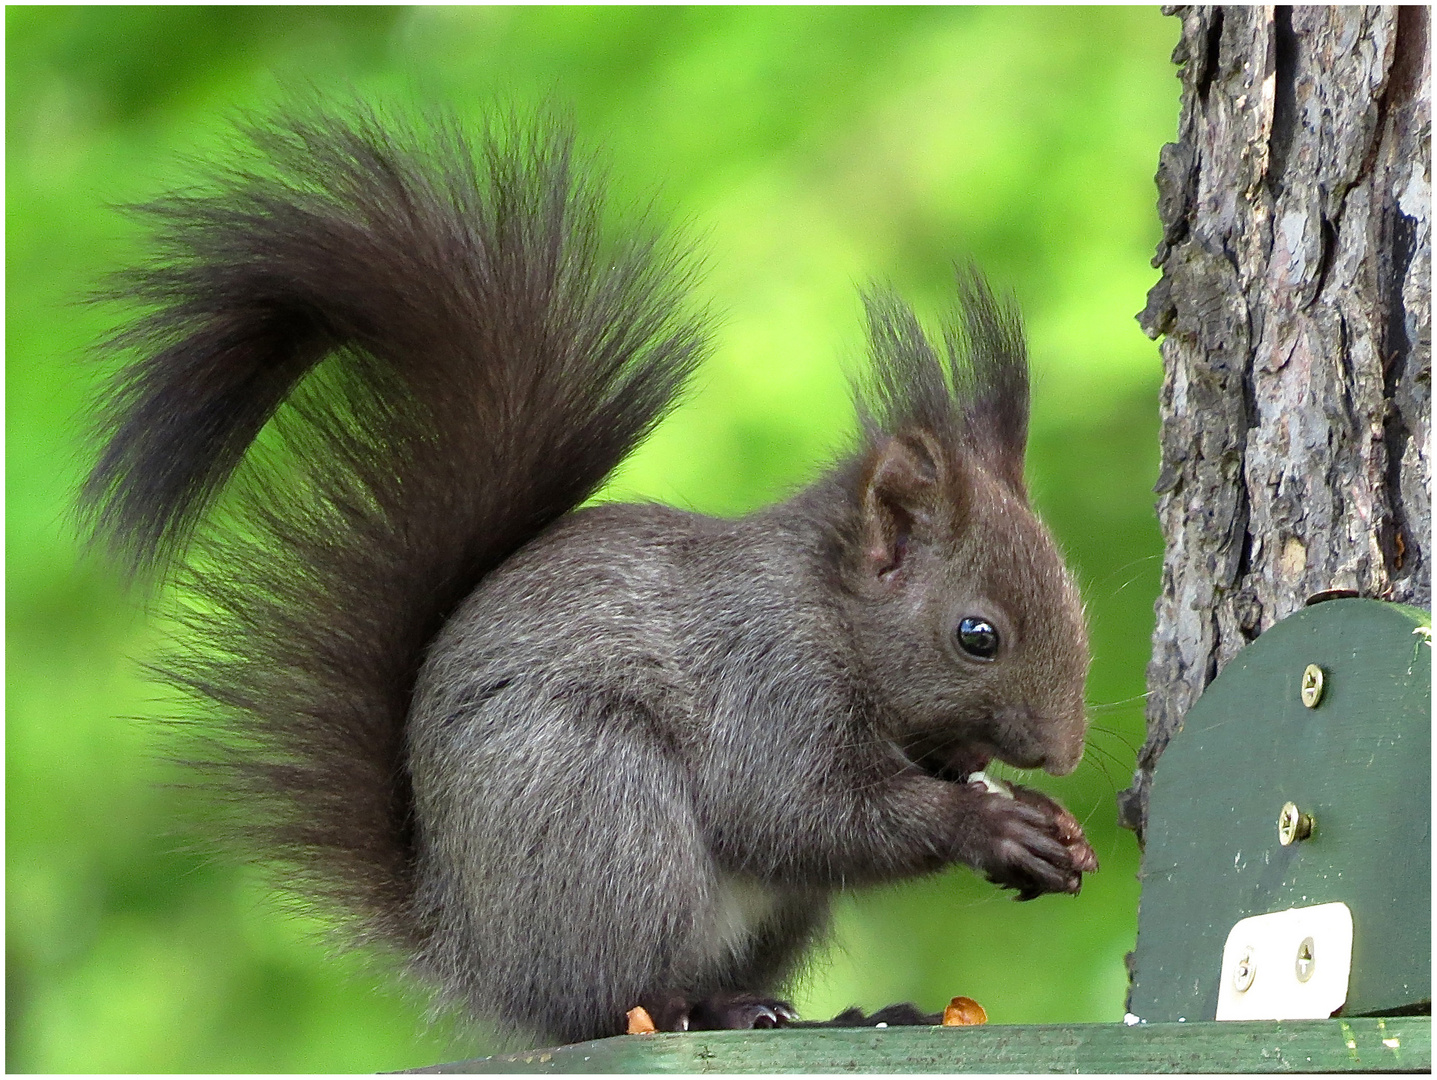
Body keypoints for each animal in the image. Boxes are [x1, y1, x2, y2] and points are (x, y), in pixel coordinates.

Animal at [84, 105, 1092, 1051]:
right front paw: (991, 827)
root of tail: (476, 952)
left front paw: (1025, 812)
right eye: (976, 635)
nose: (1064, 752)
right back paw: (697, 1008)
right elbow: (797, 810)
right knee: (611, 1000)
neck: (827, 610)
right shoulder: (765, 681)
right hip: (604, 814)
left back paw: (801, 1013)